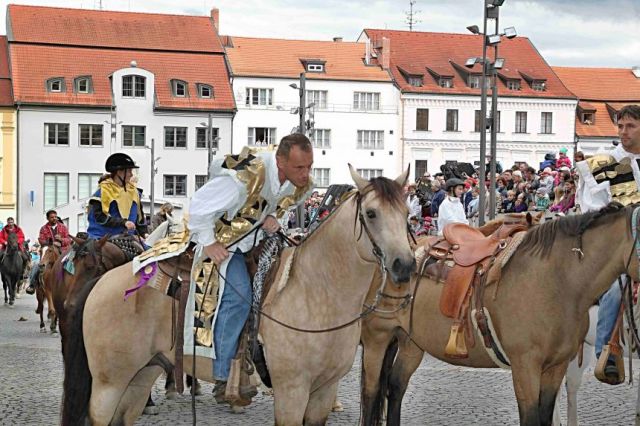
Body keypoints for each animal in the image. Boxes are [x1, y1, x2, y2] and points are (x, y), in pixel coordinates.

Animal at [62, 166, 418, 426]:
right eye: (371, 213)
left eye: (404, 214)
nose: (405, 265)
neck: (317, 293)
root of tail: (103, 281)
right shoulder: (292, 391)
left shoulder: (323, 391)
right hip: (109, 384)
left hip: (140, 376)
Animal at [362, 204, 640, 426]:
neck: (557, 280)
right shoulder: (525, 366)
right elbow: (531, 418)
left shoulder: (556, 366)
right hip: (377, 339)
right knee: (370, 392)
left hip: (411, 342)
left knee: (396, 387)